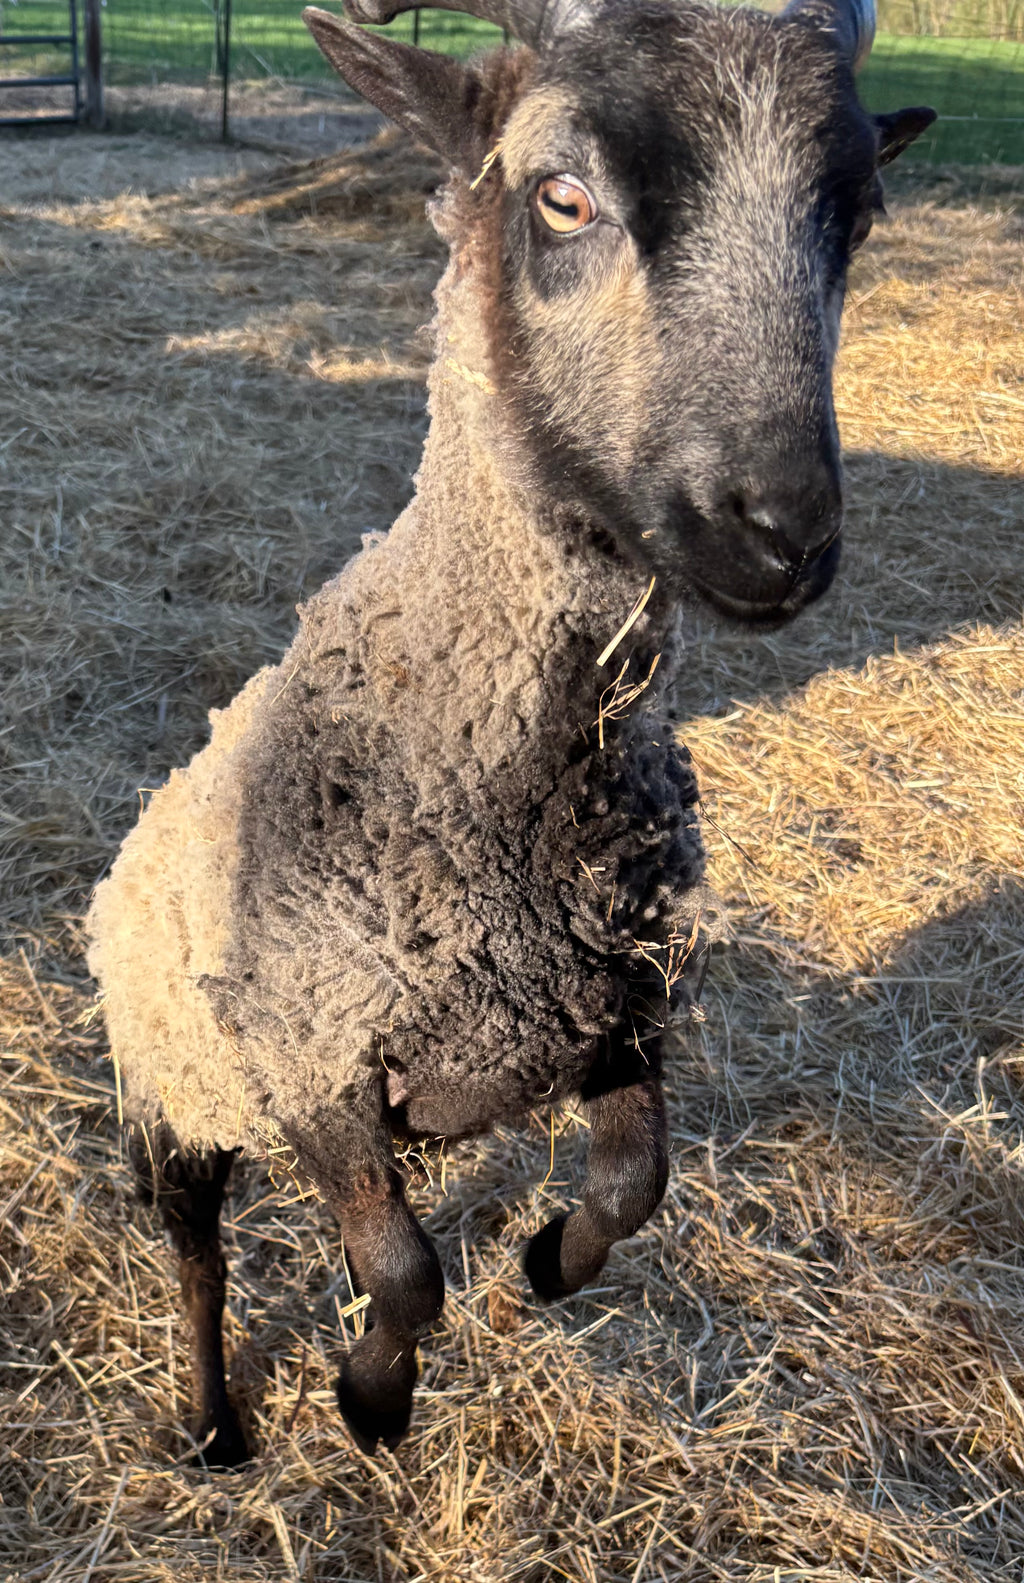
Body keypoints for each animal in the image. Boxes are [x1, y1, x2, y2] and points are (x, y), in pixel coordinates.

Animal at [86, 0, 935, 1466]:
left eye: (858, 214)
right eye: (562, 195)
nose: (781, 533)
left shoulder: (623, 1013)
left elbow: (635, 1181)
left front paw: (544, 1263)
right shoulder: (316, 1061)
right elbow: (405, 1270)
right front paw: (371, 1400)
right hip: (172, 1086)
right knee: (196, 1252)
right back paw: (212, 1420)